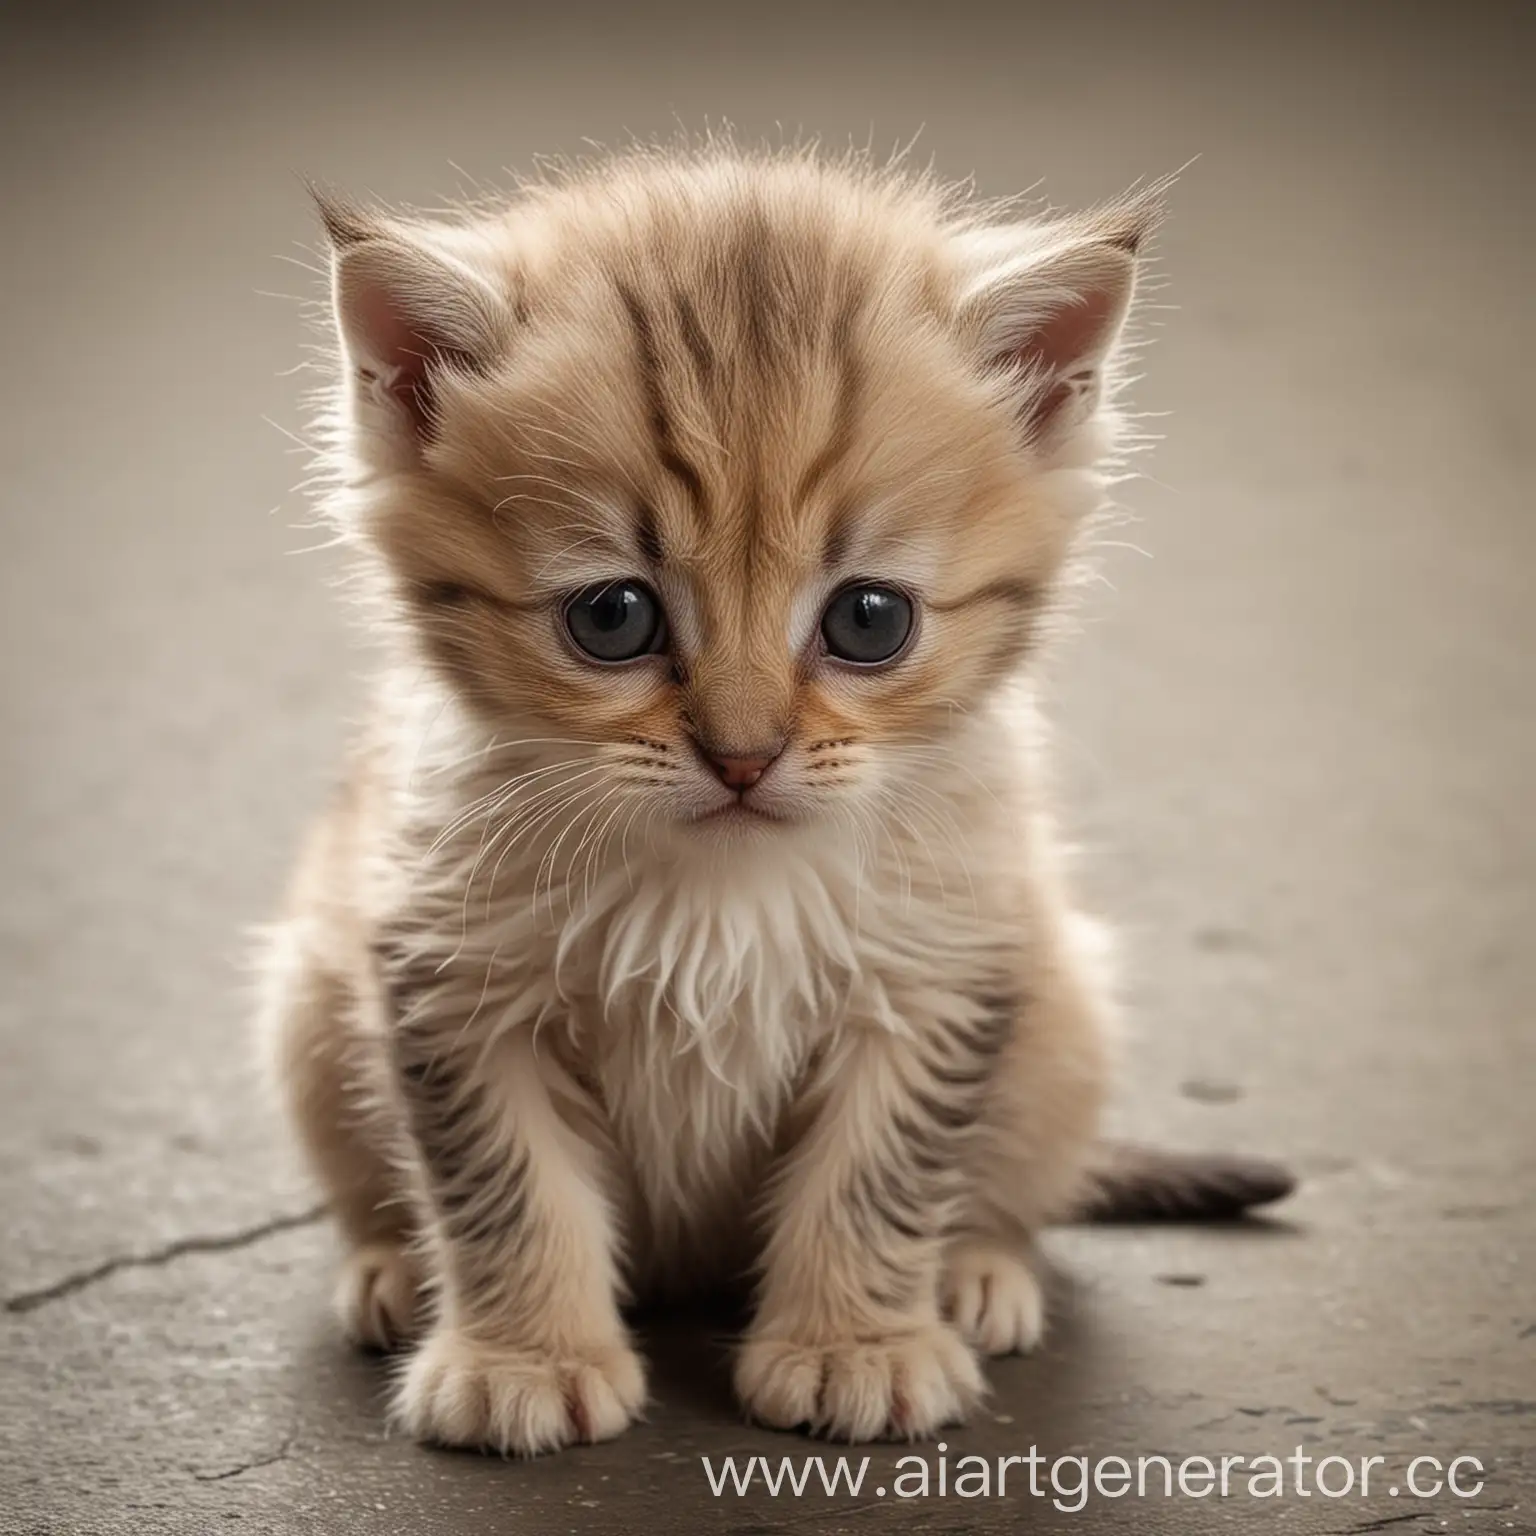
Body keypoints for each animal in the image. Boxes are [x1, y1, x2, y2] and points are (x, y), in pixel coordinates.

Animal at [258, 149, 1290, 1456]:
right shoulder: (448, 972)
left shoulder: (940, 970)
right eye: (612, 616)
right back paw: (392, 1265)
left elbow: (878, 1175)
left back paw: (979, 1269)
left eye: (869, 619)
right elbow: (503, 1184)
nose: (743, 757)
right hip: (306, 992)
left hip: (1065, 1002)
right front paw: (525, 1357)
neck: (723, 885)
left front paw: (857, 1344)